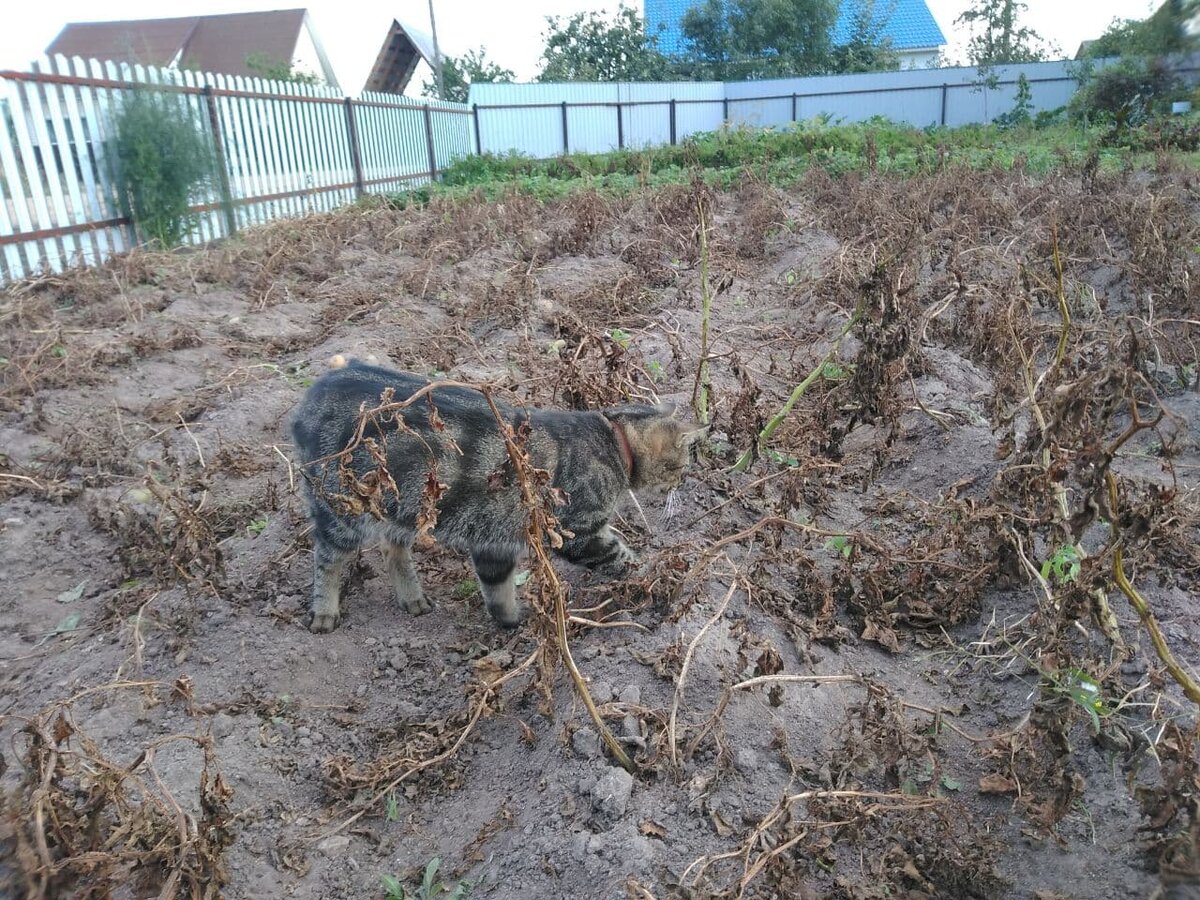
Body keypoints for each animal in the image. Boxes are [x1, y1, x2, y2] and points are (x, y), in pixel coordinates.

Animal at [290, 357, 700, 633]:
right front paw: (653, 577)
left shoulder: (495, 538)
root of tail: (310, 395)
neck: (613, 440)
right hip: (340, 511)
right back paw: (324, 611)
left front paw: (511, 621)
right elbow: (624, 559)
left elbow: (497, 589)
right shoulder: (578, 531)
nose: (684, 482)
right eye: (682, 466)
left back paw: (413, 598)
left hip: (401, 506)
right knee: (327, 559)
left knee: (393, 548)